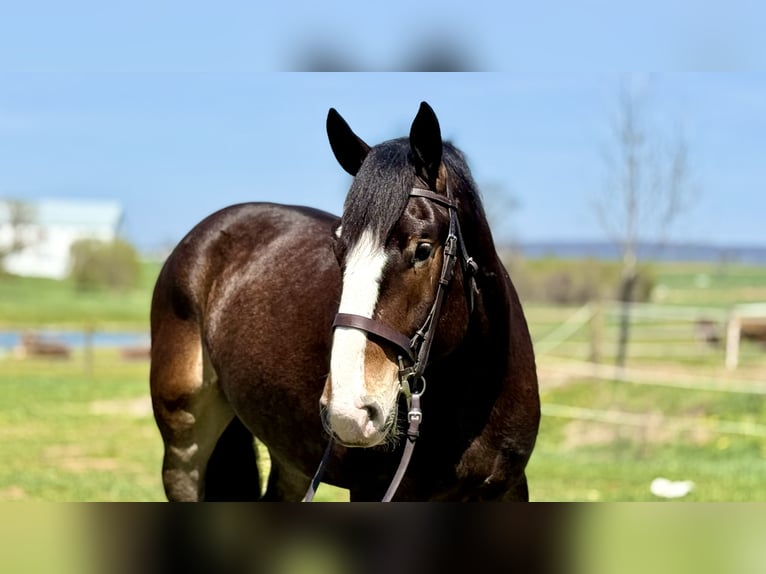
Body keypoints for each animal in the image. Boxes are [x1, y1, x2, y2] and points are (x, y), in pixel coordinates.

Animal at [150, 102, 540, 501]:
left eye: (423, 249)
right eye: (339, 251)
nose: (349, 411)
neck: (474, 392)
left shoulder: (509, 489)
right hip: (184, 443)